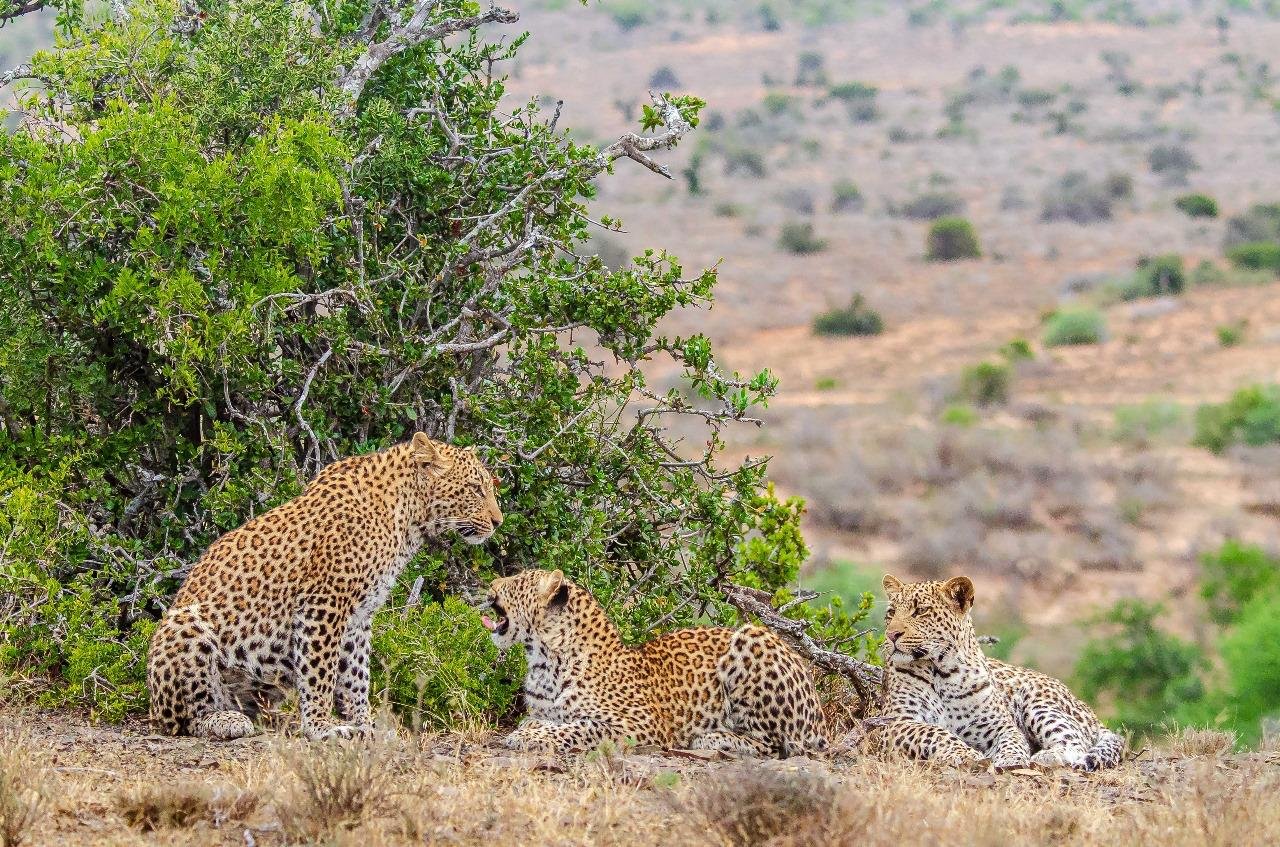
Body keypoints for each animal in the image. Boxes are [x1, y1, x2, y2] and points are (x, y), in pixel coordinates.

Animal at [147, 432, 503, 742]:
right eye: (475, 488)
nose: (498, 522)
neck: (407, 518)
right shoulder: (324, 602)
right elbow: (321, 671)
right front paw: (321, 726)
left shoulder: (359, 616)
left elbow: (356, 673)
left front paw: (364, 723)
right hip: (185, 628)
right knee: (183, 718)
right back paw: (226, 720)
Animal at [481, 568, 829, 757]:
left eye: (517, 582)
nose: (491, 585)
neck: (543, 661)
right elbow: (544, 720)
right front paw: (530, 729)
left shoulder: (640, 724)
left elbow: (579, 727)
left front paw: (528, 736)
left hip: (751, 638)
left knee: (777, 745)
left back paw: (711, 737)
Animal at [870, 573, 1124, 771]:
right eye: (891, 613)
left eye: (920, 611)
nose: (891, 635)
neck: (941, 671)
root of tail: (1087, 709)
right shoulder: (894, 722)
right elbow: (935, 732)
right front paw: (967, 754)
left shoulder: (1001, 725)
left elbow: (1013, 741)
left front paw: (1011, 759)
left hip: (1037, 703)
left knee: (1076, 742)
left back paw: (1047, 756)